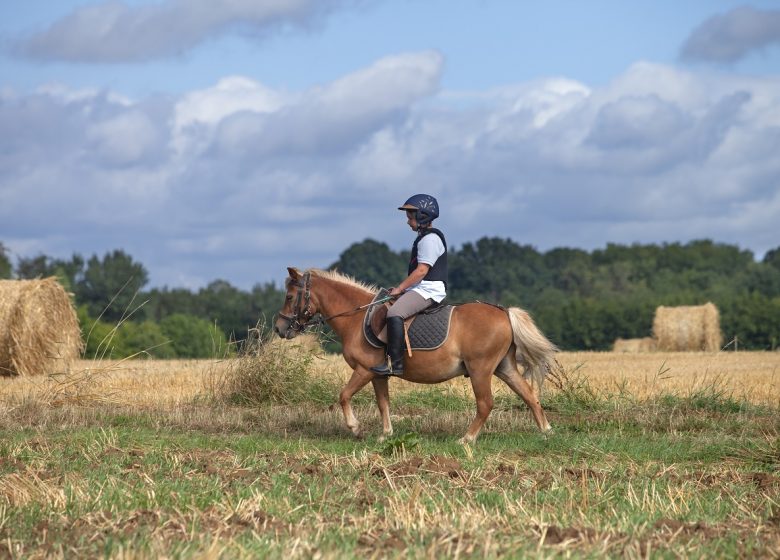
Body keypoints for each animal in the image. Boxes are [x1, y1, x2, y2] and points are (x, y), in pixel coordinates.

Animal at [274, 270, 556, 444]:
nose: (279, 328)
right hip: (504, 368)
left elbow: (343, 395)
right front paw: (385, 435)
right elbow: (383, 403)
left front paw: (356, 428)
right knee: (530, 396)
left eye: (289, 296)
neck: (356, 317)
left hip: (480, 370)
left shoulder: (364, 370)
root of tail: (504, 312)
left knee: (486, 404)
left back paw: (467, 439)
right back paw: (545, 432)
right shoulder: (378, 375)